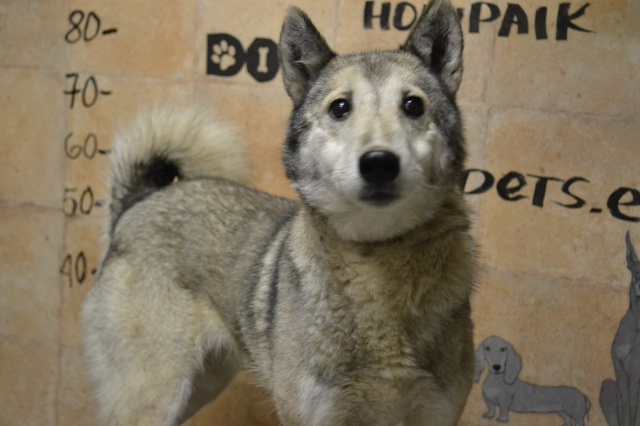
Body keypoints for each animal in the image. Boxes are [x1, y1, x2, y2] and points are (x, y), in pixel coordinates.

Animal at [81, 1, 477, 425]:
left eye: (413, 105)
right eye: (340, 108)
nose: (379, 163)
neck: (378, 259)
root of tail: (136, 205)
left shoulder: (436, 411)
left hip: (202, 384)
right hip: (154, 395)